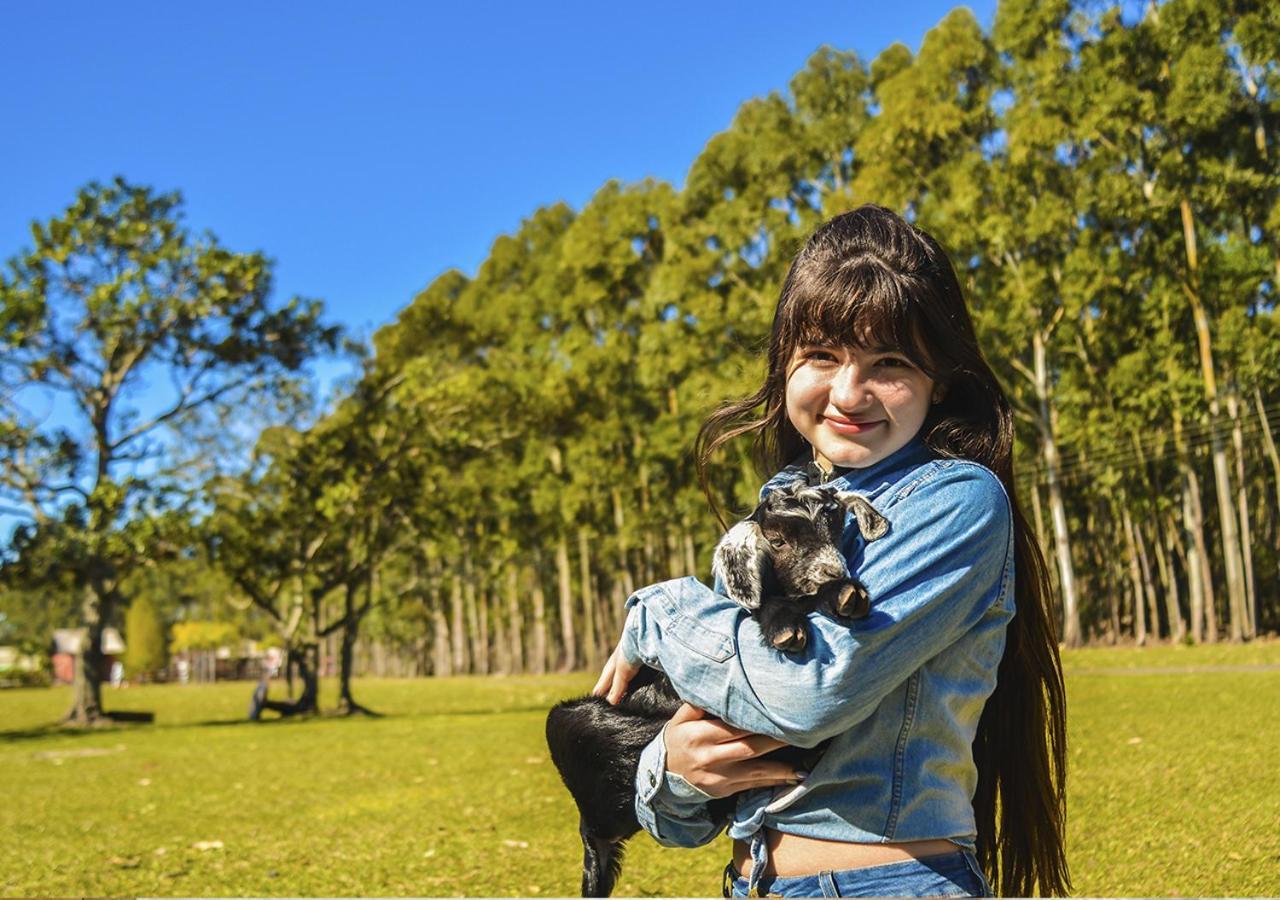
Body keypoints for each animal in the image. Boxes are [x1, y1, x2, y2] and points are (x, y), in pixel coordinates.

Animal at [542, 486, 890, 900]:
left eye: (835, 526)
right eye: (777, 540)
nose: (834, 572)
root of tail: (592, 834)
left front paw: (842, 595)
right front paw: (789, 624)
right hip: (570, 722)